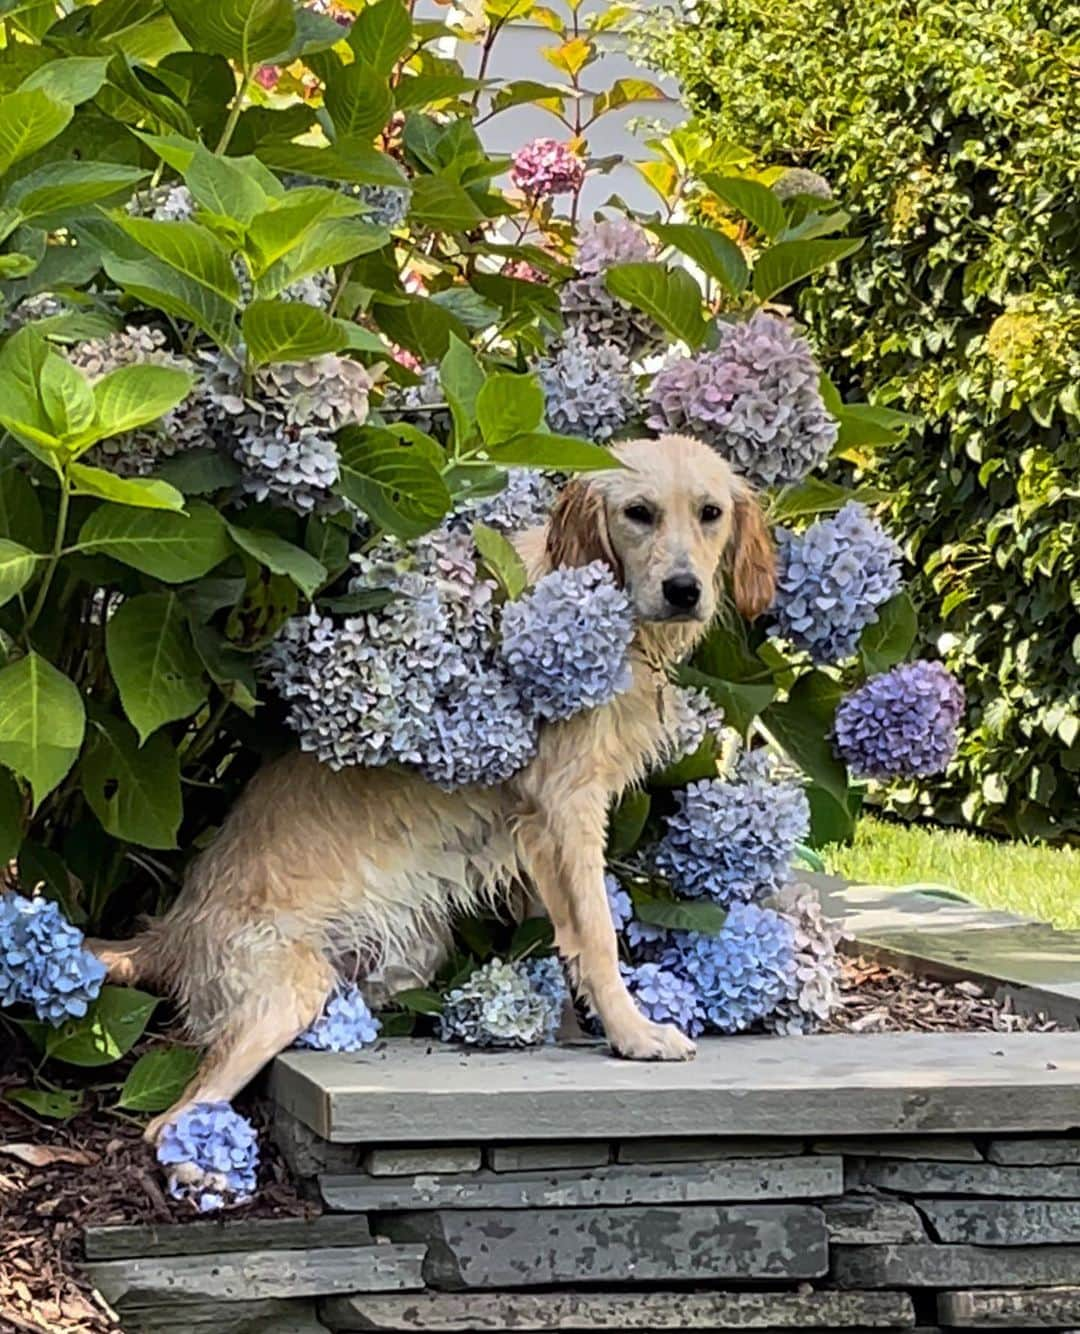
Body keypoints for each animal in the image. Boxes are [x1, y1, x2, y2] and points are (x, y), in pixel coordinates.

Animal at [90, 432, 768, 1141]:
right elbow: (598, 936)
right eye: (639, 512)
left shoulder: (537, 835)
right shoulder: (568, 808)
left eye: (711, 513)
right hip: (284, 992)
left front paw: (570, 1027)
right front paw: (634, 1033)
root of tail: (172, 929)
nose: (684, 589)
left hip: (405, 951)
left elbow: (560, 939)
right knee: (167, 1122)